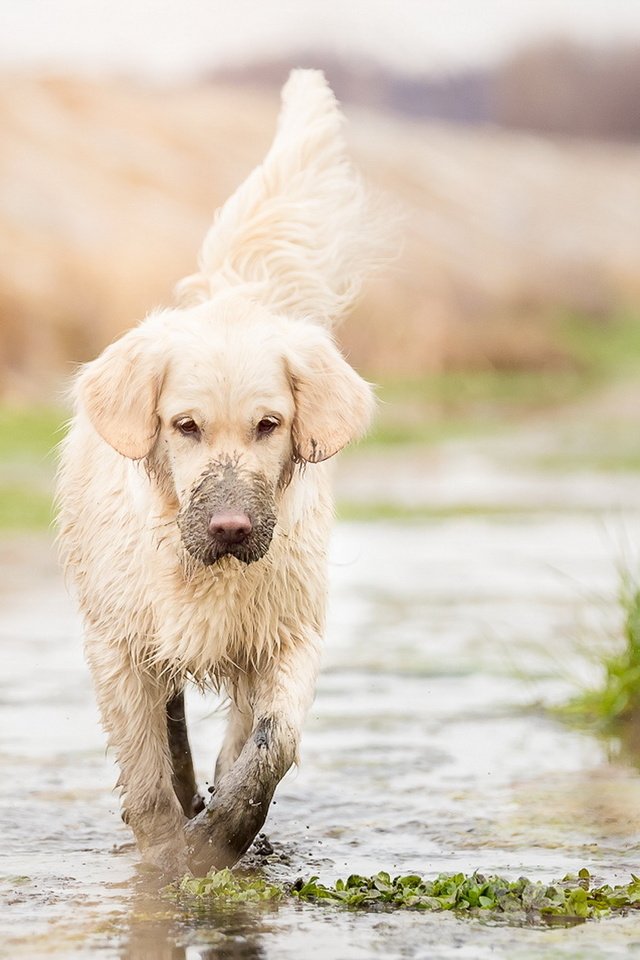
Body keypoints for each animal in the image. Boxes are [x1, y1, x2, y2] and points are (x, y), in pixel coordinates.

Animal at [55, 71, 382, 872]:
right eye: (185, 426)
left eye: (269, 425)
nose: (231, 528)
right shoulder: (118, 646)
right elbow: (146, 776)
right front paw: (167, 863)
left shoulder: (287, 634)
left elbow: (269, 745)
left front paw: (221, 838)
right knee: (170, 728)